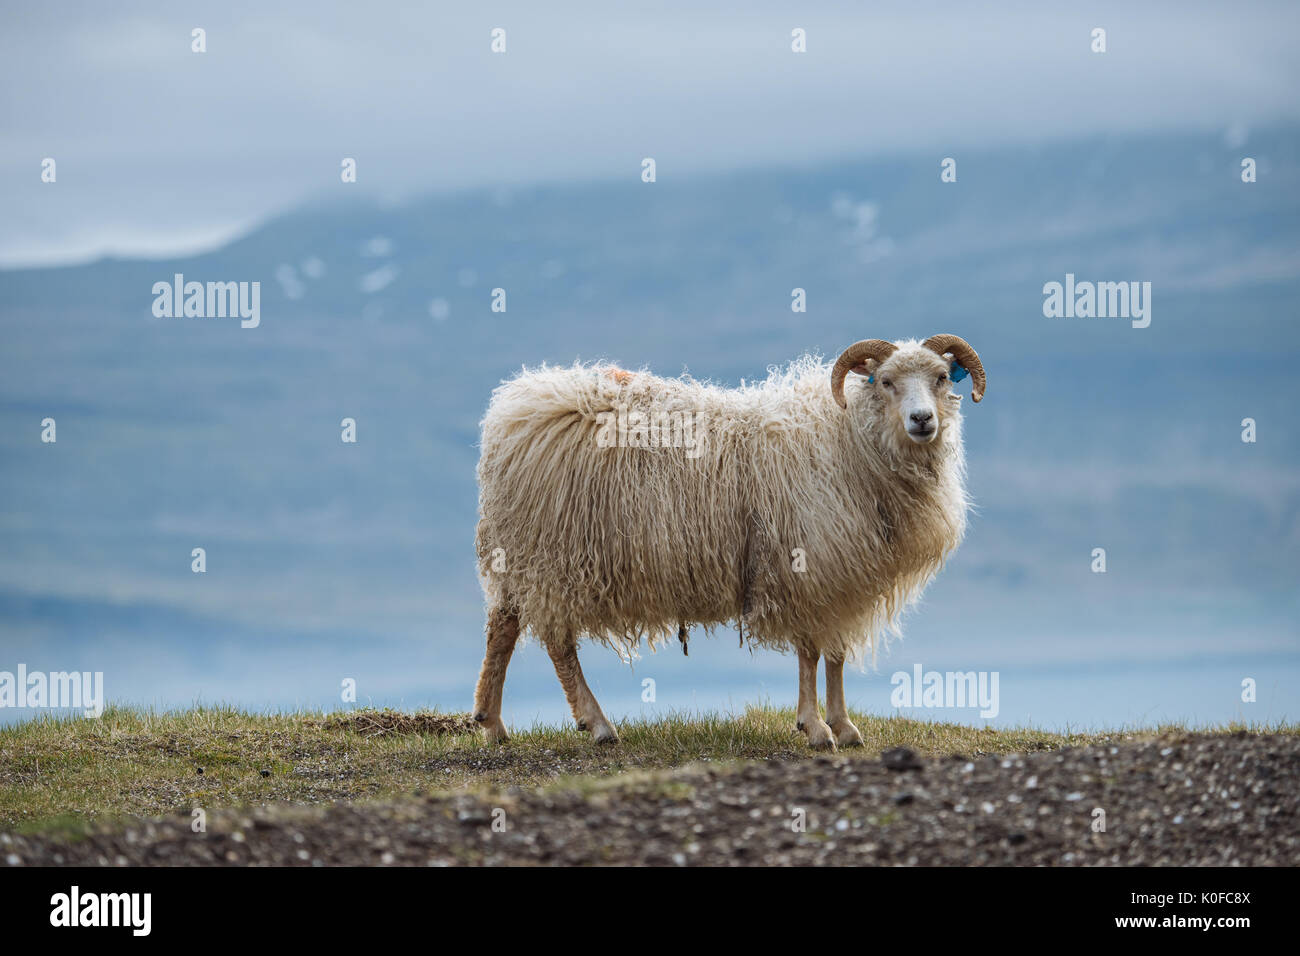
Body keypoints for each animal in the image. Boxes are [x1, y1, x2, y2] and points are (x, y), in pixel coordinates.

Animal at [470, 335, 982, 749]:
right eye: (886, 381)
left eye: (940, 378)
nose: (922, 420)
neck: (851, 439)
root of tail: (515, 411)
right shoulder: (807, 567)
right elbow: (811, 653)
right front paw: (815, 728)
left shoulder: (840, 576)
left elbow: (834, 655)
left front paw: (844, 726)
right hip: (552, 556)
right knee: (557, 643)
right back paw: (596, 724)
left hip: (521, 556)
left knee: (502, 628)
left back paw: (491, 722)